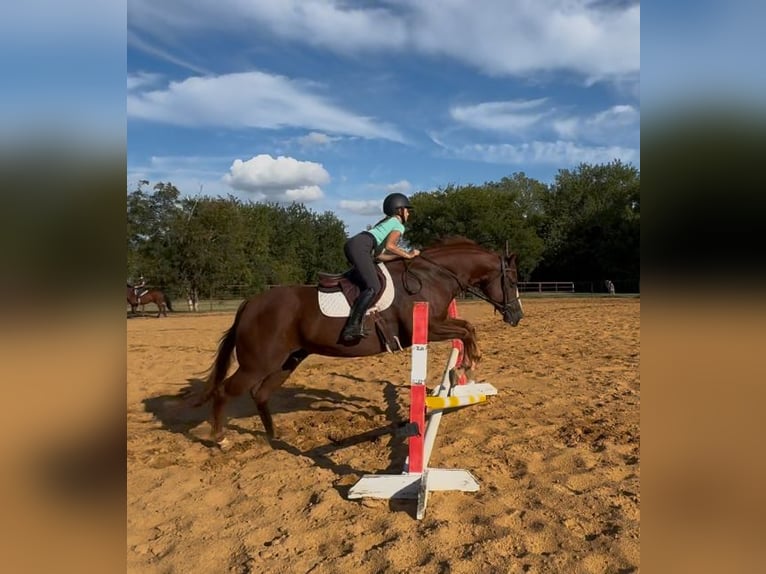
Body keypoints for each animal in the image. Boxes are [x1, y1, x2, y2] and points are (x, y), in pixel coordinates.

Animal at [196, 236, 524, 443]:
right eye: (511, 280)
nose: (517, 316)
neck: (432, 275)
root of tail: (250, 304)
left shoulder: (438, 324)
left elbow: (468, 328)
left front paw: (463, 370)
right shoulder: (429, 328)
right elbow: (466, 330)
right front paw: (467, 366)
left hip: (288, 360)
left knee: (260, 394)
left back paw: (273, 436)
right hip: (258, 363)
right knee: (225, 391)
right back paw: (219, 438)